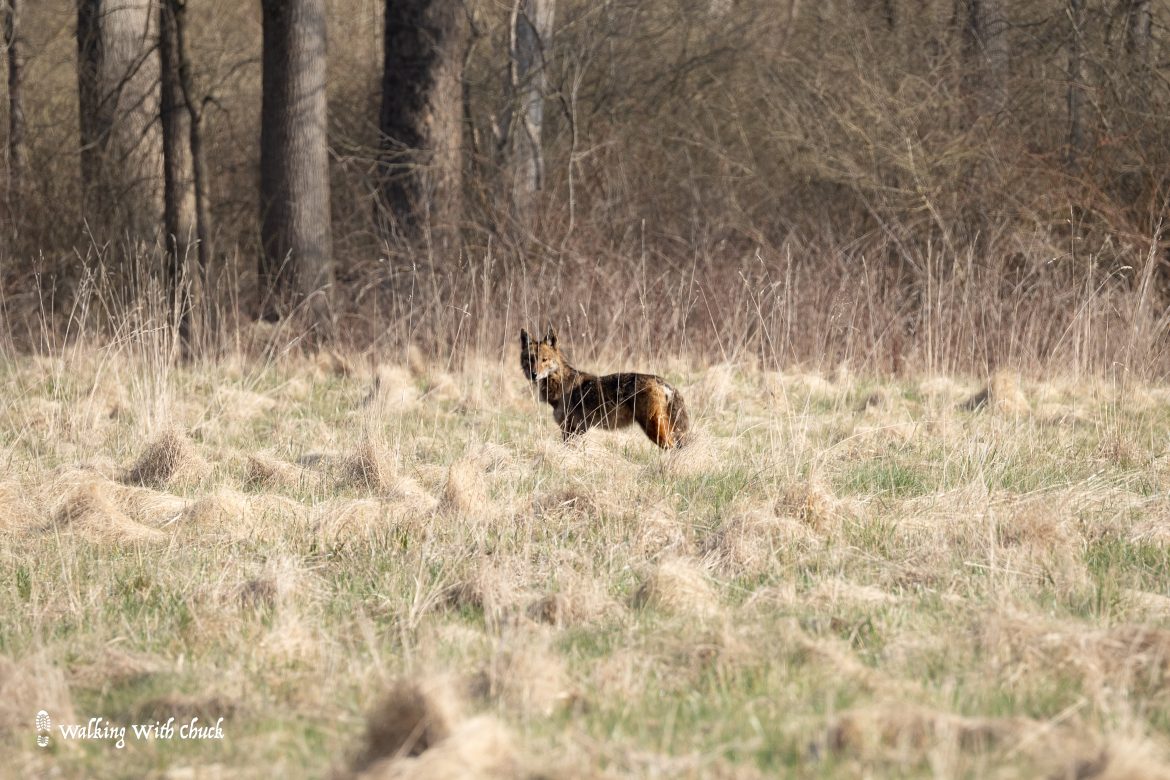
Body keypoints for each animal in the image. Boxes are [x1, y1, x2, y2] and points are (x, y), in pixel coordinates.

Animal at [520, 326, 690, 449]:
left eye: (544, 360)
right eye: (530, 359)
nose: (533, 374)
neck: (560, 384)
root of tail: (663, 382)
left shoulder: (569, 428)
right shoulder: (576, 430)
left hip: (654, 429)